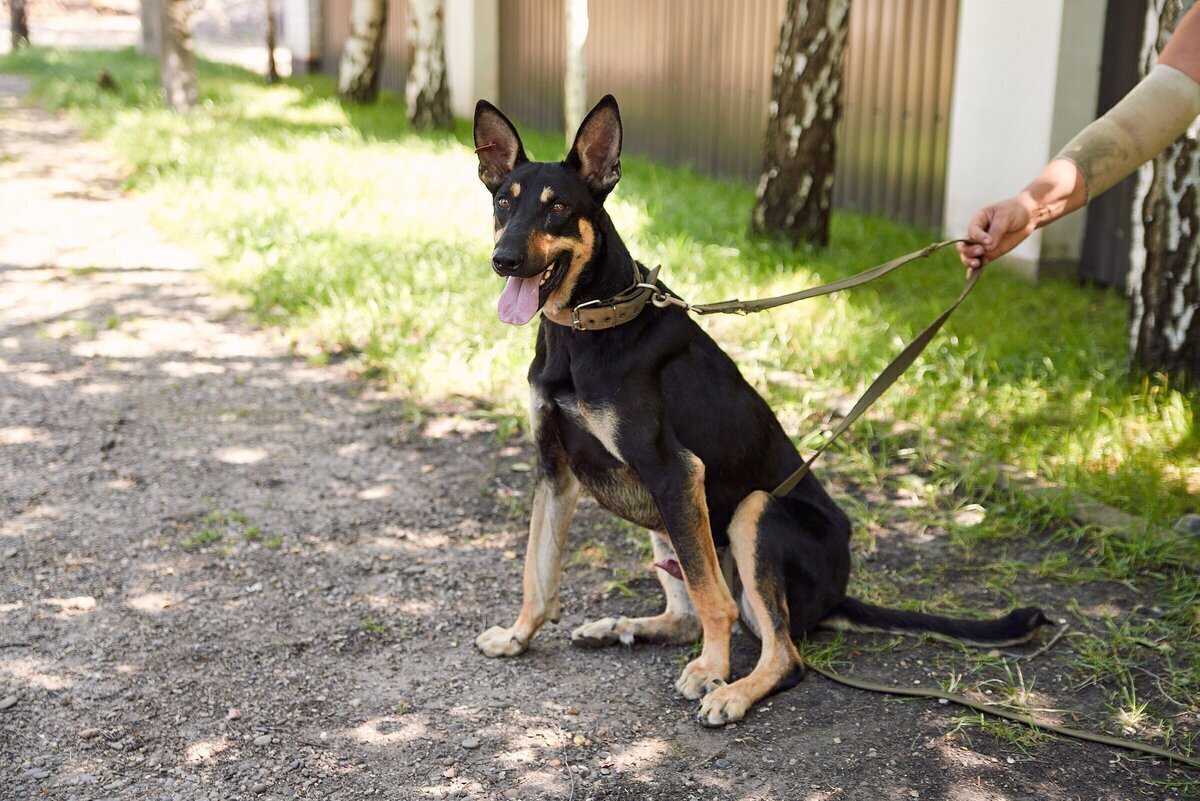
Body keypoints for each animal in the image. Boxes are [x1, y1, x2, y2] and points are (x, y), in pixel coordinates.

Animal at [470, 94, 1051, 724]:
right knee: (684, 616)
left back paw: (733, 691)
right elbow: (537, 568)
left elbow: (712, 599)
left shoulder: (676, 471)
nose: (503, 260)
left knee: (783, 652)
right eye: (503, 202)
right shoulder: (556, 470)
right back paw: (622, 628)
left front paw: (711, 669)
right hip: (668, 522)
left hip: (750, 512)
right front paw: (518, 636)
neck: (586, 327)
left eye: (558, 208)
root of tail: (839, 591)